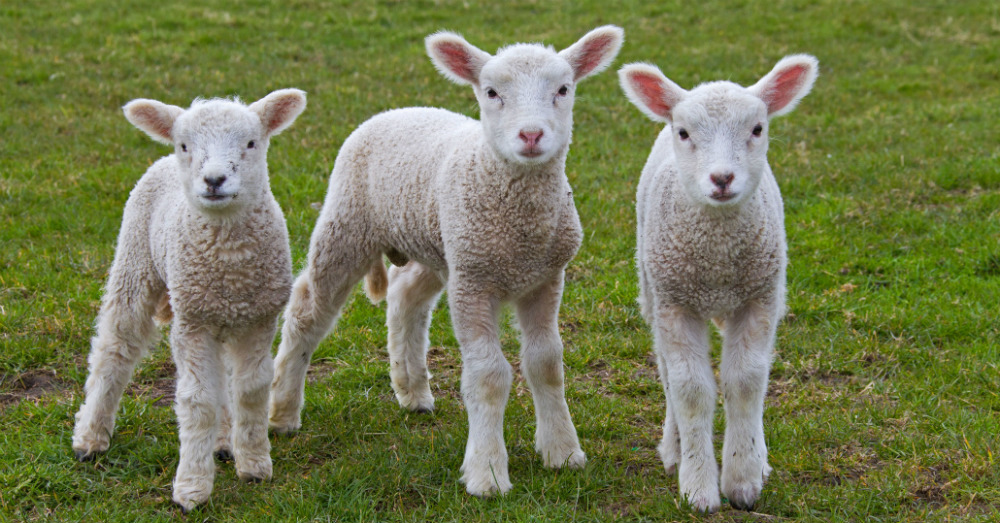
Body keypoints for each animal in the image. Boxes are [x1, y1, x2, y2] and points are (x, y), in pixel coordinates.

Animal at [71, 89, 307, 512]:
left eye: (251, 143)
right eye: (185, 145)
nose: (214, 180)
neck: (229, 263)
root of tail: (161, 161)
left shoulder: (259, 320)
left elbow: (250, 390)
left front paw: (254, 464)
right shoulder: (192, 323)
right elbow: (198, 402)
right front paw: (192, 488)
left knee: (223, 378)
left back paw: (224, 443)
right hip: (135, 264)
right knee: (115, 348)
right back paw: (90, 438)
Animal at [268, 26, 623, 496]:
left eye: (563, 89)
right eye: (491, 92)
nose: (531, 135)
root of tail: (399, 109)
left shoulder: (545, 278)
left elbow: (546, 363)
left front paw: (563, 452)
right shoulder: (473, 280)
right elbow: (488, 375)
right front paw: (487, 473)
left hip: (437, 248)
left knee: (405, 298)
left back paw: (412, 391)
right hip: (347, 224)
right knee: (307, 311)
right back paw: (283, 413)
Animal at [618, 55, 818, 512]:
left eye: (757, 128)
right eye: (685, 132)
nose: (722, 178)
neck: (717, 257)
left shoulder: (758, 298)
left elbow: (745, 380)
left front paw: (743, 479)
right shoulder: (675, 301)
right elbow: (691, 388)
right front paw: (698, 488)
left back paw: (759, 457)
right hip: (652, 289)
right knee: (666, 369)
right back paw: (674, 449)